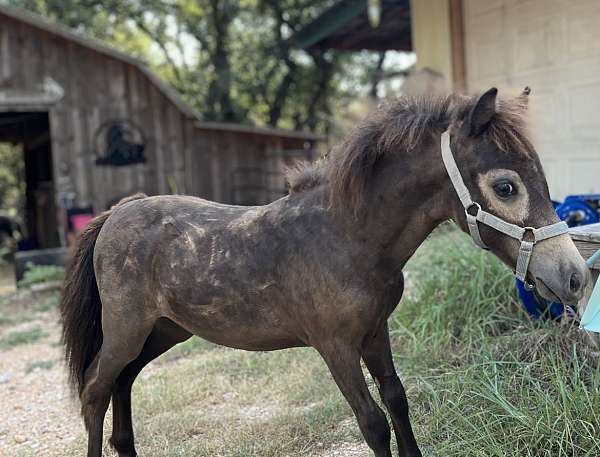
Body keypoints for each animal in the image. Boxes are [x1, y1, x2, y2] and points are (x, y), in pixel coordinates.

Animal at [59, 86, 584, 456]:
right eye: (505, 186)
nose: (574, 276)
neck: (347, 237)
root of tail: (121, 210)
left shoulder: (375, 331)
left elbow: (397, 400)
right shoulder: (335, 347)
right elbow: (372, 423)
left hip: (164, 330)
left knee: (122, 381)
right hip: (127, 329)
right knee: (95, 389)